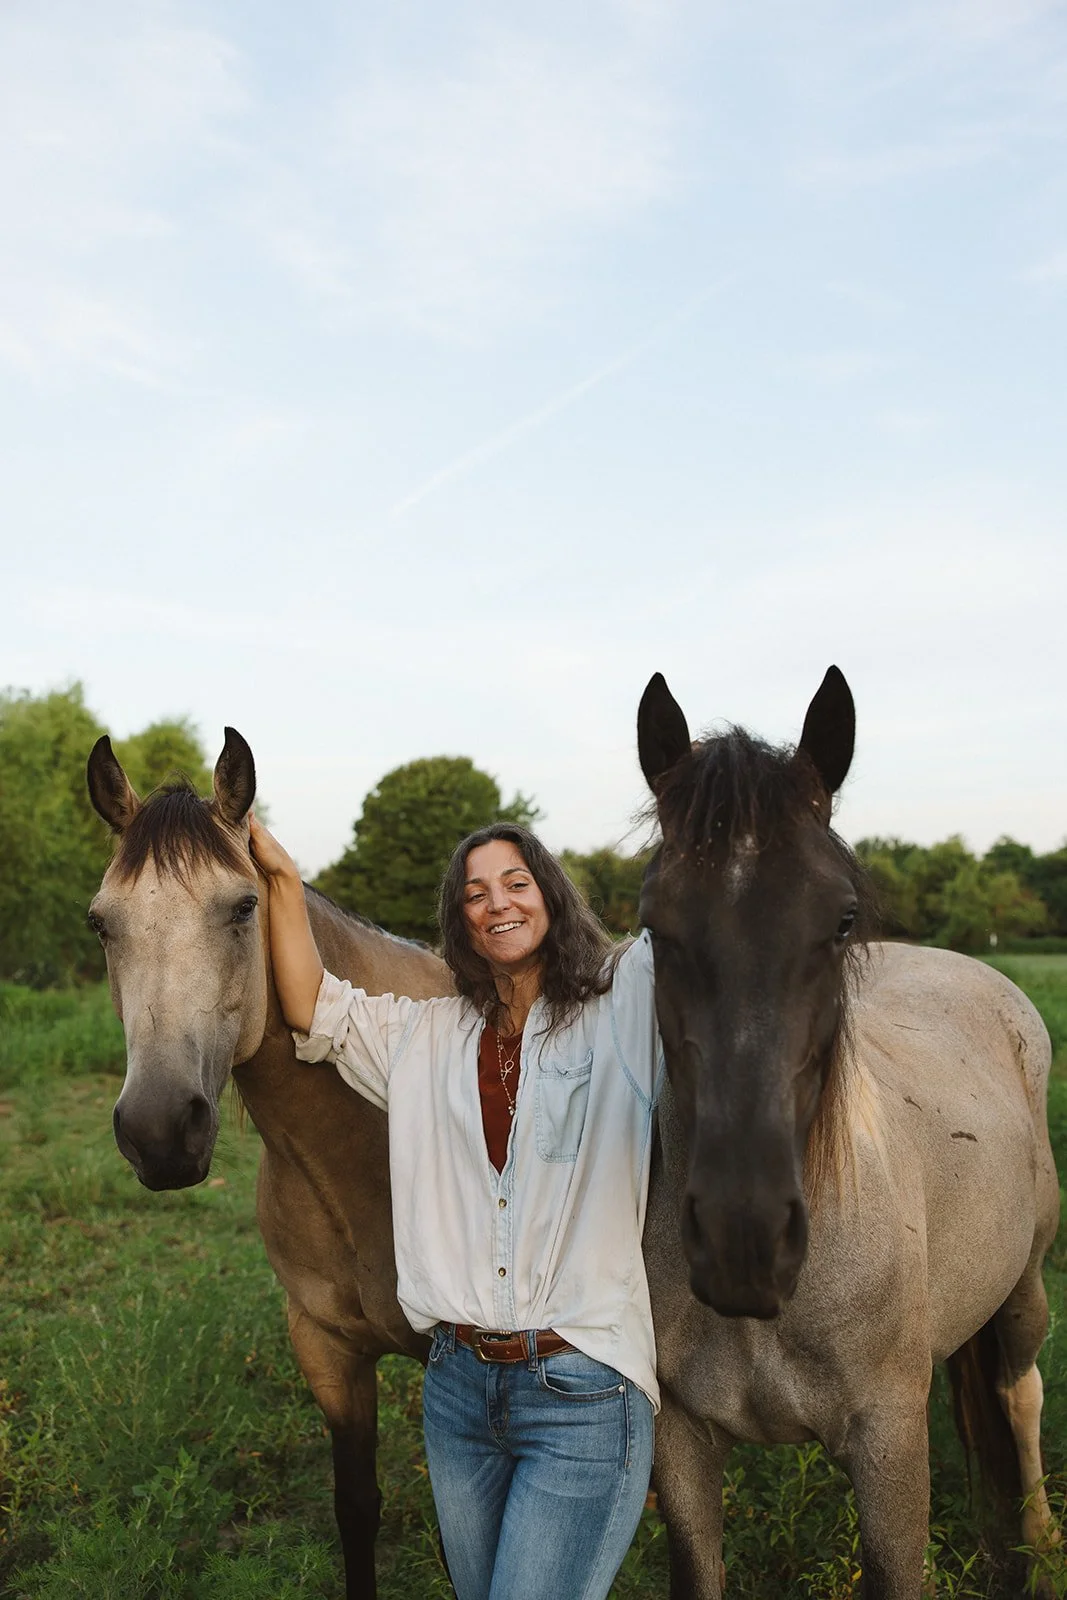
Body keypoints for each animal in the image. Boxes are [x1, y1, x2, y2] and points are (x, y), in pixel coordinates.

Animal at [636, 667, 1061, 1599]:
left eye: (839, 920)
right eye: (652, 924)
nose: (744, 1241)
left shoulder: (889, 1449)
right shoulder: (678, 1442)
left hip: (1022, 1288)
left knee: (1019, 1395)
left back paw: (1042, 1544)